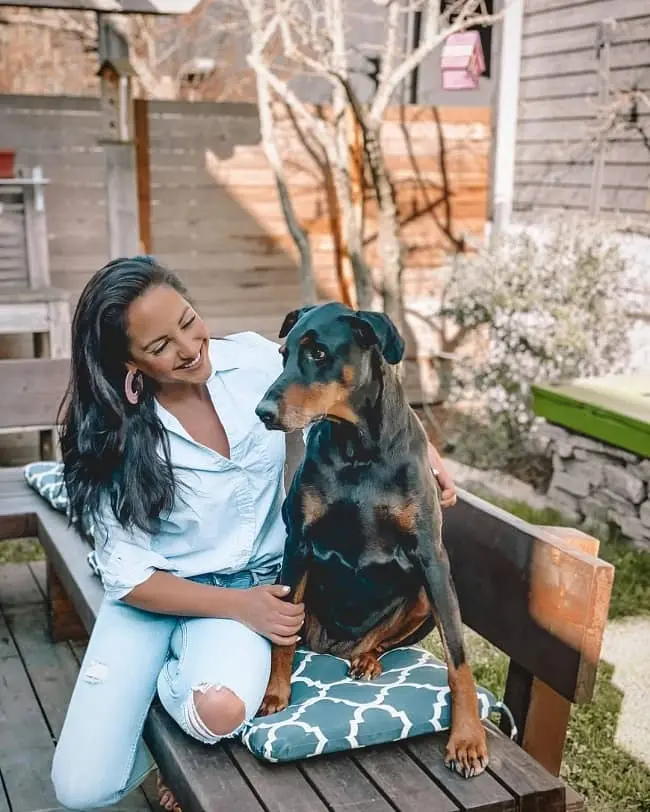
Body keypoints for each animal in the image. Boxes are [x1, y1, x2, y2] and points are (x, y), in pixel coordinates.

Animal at [253, 302, 486, 776]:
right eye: (284, 354)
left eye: (319, 353)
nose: (262, 411)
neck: (358, 449)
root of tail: (333, 648)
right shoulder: (298, 544)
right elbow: (280, 642)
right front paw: (275, 695)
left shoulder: (431, 557)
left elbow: (458, 657)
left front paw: (468, 739)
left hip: (424, 598)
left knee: (384, 639)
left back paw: (367, 658)